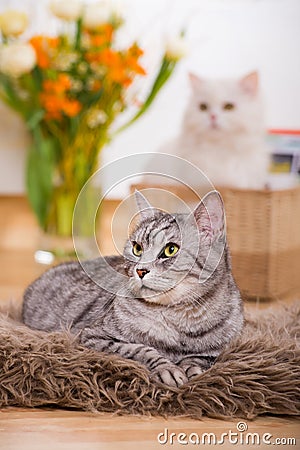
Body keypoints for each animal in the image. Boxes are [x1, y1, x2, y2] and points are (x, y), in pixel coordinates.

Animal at [22, 190, 243, 386]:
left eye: (170, 250)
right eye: (137, 248)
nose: (140, 270)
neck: (178, 318)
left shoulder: (220, 349)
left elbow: (199, 359)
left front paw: (194, 371)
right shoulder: (93, 335)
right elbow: (140, 349)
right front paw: (168, 368)